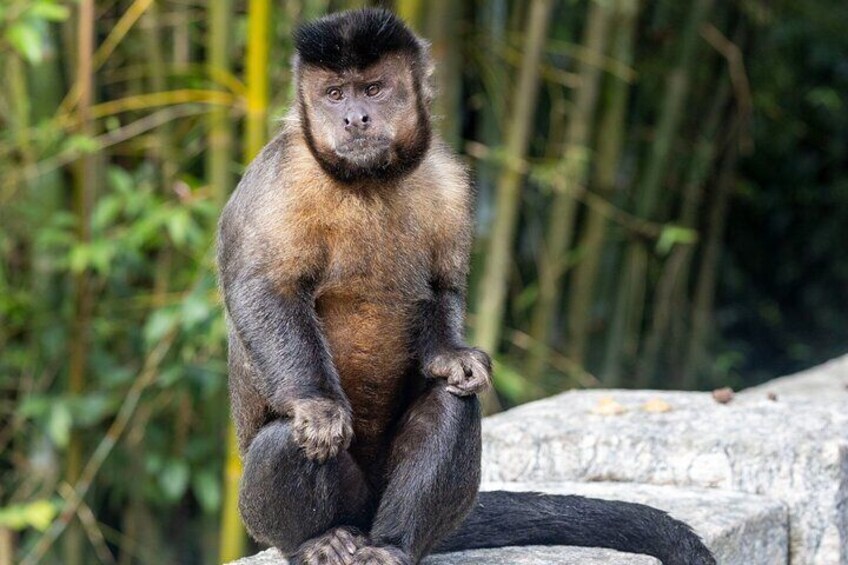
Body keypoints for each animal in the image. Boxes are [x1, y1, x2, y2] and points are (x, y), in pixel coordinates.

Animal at [216, 8, 716, 565]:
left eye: (373, 88)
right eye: (335, 94)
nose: (355, 119)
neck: (365, 180)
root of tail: (365, 519)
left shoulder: (448, 177)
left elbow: (443, 288)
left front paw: (454, 357)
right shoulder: (279, 179)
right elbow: (263, 291)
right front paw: (317, 404)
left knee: (453, 403)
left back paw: (393, 544)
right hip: (291, 511)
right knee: (291, 439)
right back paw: (318, 538)